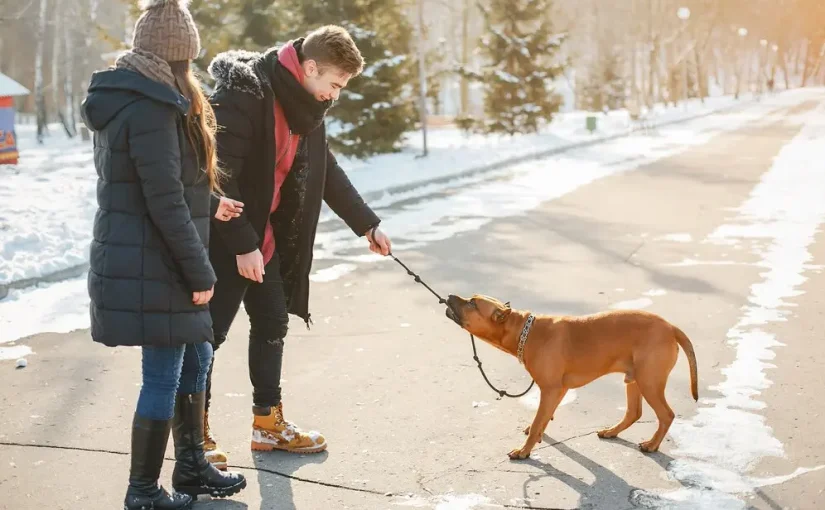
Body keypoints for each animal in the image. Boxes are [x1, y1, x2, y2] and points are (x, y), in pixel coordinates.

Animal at [444, 292, 696, 460]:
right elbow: (543, 418)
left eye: (472, 303)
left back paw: (652, 445)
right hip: (634, 378)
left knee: (666, 415)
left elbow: (539, 421)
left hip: (649, 382)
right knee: (634, 412)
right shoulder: (557, 390)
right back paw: (611, 432)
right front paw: (537, 433)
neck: (524, 331)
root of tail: (670, 327)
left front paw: (524, 450)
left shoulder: (551, 389)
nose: (449, 295)